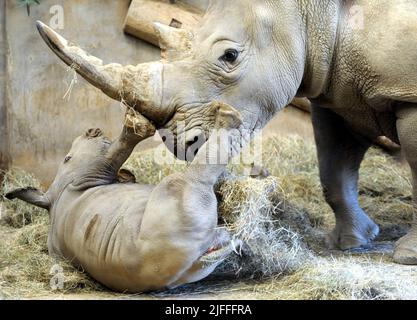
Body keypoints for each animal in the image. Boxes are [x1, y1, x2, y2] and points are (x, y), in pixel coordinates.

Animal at [5, 103, 240, 292]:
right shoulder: (90, 173)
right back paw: (228, 115)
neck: (54, 199)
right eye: (67, 158)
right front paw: (136, 124)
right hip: (169, 225)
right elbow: (116, 153)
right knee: (188, 180)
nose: (90, 130)